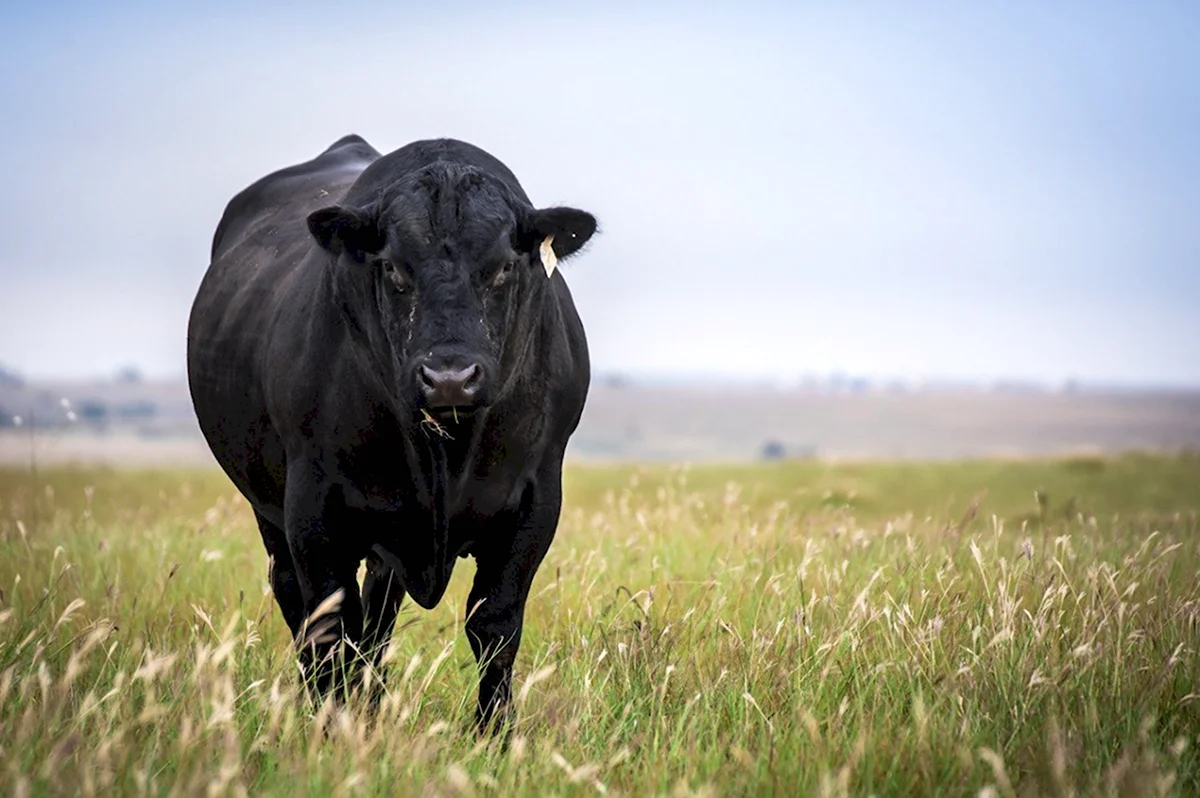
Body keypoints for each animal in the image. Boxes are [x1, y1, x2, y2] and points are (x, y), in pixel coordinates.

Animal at [186, 133, 595, 729]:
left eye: (502, 267)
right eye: (394, 268)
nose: (449, 377)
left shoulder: (536, 500)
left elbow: (494, 623)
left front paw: (495, 734)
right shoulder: (312, 507)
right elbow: (330, 624)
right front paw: (333, 728)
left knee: (377, 620)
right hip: (270, 509)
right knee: (301, 605)